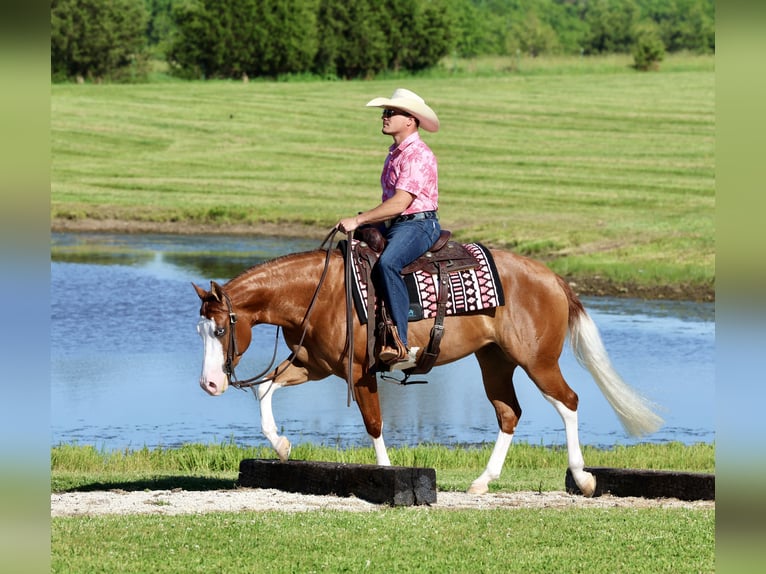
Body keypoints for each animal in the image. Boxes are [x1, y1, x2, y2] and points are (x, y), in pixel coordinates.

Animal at [193, 236, 662, 497]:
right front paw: (282, 446)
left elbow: (374, 424)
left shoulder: (358, 372)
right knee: (509, 413)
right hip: (494, 361)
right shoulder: (314, 364)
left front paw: (388, 476)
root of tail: (552, 278)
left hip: (538, 361)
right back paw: (482, 482)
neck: (322, 292)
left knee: (568, 402)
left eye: (220, 329)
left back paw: (583, 479)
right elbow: (264, 388)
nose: (210, 384)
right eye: (199, 331)